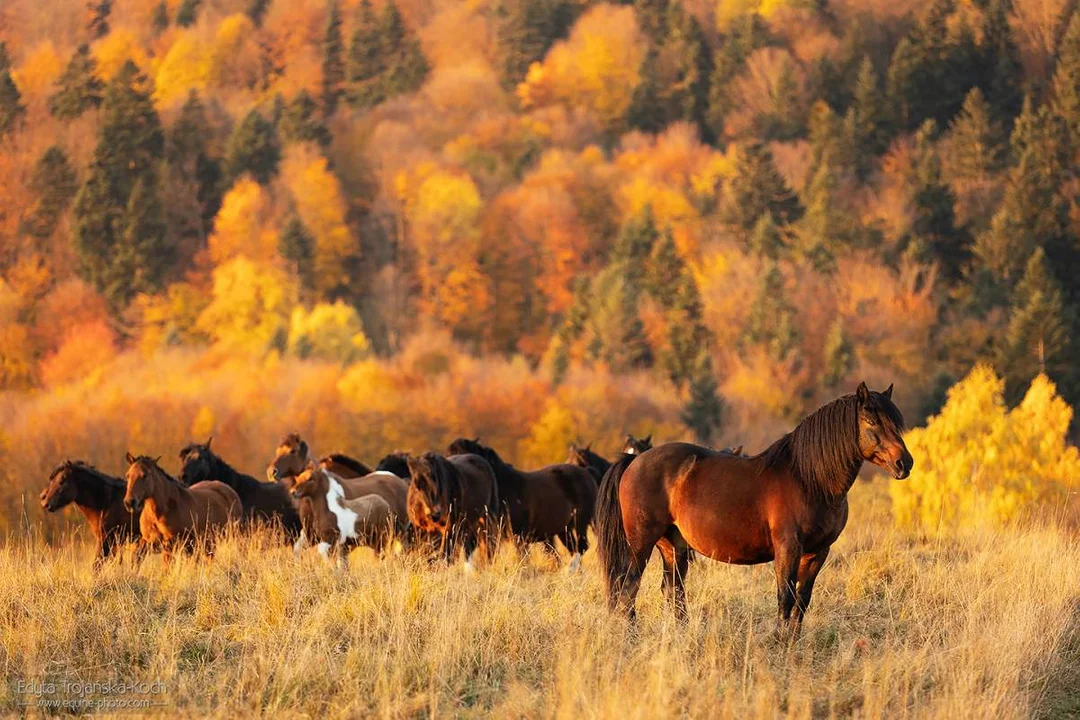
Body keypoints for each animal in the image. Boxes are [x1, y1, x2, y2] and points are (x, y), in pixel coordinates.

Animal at [447, 436, 600, 569]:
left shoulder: (518, 536)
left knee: (582, 547)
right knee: (573, 548)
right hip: (564, 529)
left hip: (581, 523)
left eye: (468, 458)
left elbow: (521, 559)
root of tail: (587, 472)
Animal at [596, 382, 915, 630]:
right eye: (872, 422)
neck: (809, 479)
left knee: (673, 590)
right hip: (641, 542)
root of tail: (634, 461)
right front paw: (779, 644)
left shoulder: (818, 552)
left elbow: (802, 600)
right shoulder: (788, 548)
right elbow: (785, 597)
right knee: (628, 587)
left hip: (673, 545)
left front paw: (792, 644)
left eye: (895, 423)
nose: (905, 463)